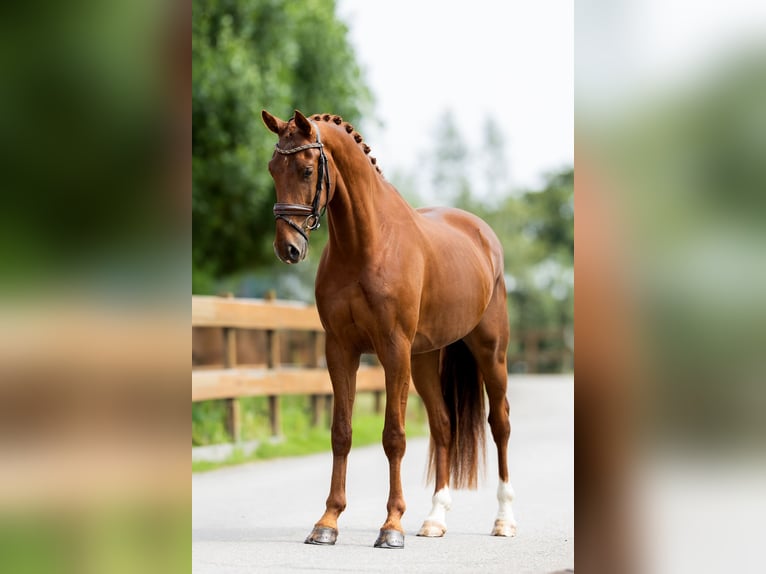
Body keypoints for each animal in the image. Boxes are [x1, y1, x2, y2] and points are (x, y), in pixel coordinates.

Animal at [260, 110, 520, 552]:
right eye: (272, 168)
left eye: (307, 169)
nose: (288, 249)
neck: (366, 245)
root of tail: (483, 235)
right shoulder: (340, 350)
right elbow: (341, 432)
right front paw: (327, 522)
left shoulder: (393, 350)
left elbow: (394, 436)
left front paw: (392, 526)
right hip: (426, 359)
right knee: (443, 426)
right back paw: (434, 520)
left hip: (490, 351)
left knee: (499, 424)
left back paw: (504, 520)